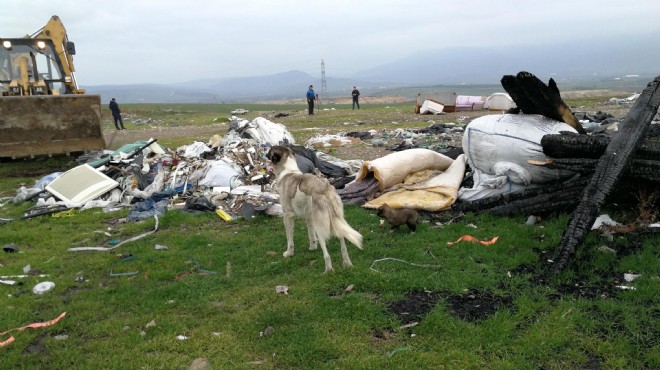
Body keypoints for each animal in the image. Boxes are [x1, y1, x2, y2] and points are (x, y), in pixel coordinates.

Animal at [266, 146, 364, 274]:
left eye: (270, 152)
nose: (265, 154)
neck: (288, 171)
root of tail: (325, 188)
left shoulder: (288, 216)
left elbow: (290, 239)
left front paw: (289, 253)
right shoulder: (309, 217)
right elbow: (311, 235)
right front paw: (312, 248)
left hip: (320, 226)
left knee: (327, 254)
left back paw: (328, 270)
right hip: (336, 221)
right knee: (343, 245)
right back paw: (347, 264)